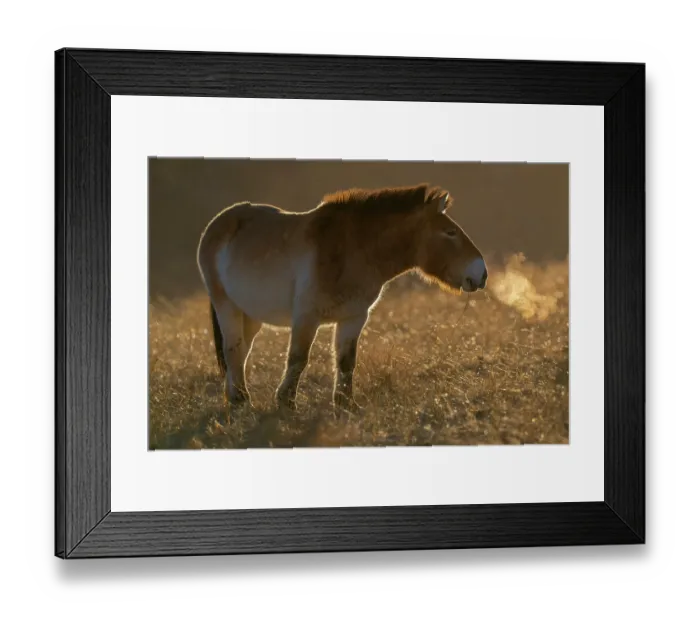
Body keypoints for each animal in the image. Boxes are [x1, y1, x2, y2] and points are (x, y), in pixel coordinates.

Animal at [196, 183, 488, 411]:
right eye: (450, 233)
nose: (481, 274)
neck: (354, 249)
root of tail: (218, 223)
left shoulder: (354, 318)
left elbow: (346, 361)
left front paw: (346, 405)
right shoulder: (307, 316)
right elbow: (298, 359)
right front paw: (286, 404)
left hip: (250, 314)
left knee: (241, 352)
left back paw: (235, 398)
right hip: (226, 305)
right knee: (233, 350)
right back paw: (240, 400)